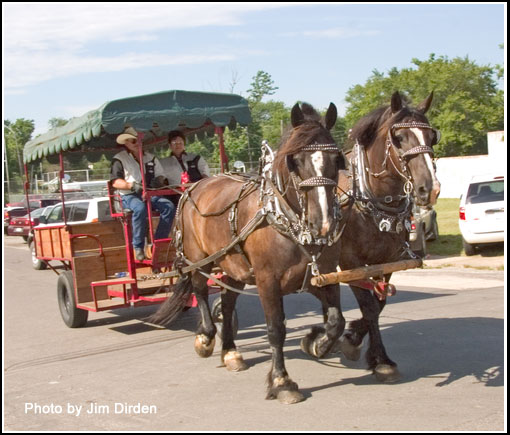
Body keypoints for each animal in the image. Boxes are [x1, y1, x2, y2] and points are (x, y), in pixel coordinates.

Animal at [147, 102, 346, 406]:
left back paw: (230, 352)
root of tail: (193, 186)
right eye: (296, 160)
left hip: (233, 265)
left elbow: (336, 321)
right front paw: (282, 382)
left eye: (337, 159)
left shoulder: (319, 276)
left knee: (227, 303)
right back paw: (206, 338)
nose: (322, 223)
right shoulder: (267, 281)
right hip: (197, 259)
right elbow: (276, 329)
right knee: (200, 290)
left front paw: (317, 343)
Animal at [326, 91, 442, 382]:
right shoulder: (350, 262)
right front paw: (373, 355)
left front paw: (360, 342)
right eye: (399, 137)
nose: (430, 188)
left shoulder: (387, 260)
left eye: (432, 136)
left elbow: (378, 304)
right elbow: (368, 306)